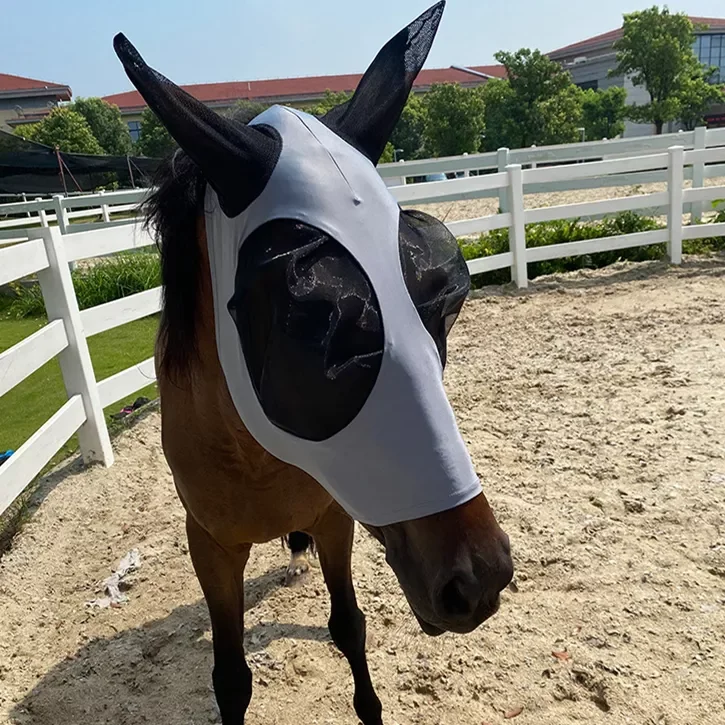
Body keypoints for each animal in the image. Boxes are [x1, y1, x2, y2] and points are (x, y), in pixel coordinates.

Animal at [113, 4, 512, 720]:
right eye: (312, 325)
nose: (480, 577)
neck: (259, 456)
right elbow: (230, 676)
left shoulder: (335, 520)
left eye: (442, 300)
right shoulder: (209, 546)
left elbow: (348, 626)